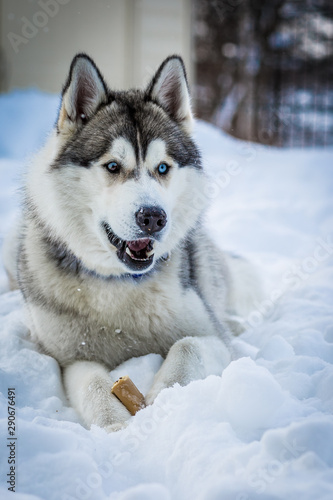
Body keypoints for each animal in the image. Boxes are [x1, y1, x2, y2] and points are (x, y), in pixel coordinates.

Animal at [3, 53, 260, 430]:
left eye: (163, 168)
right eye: (112, 166)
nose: (153, 217)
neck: (120, 286)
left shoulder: (213, 338)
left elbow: (188, 346)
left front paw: (164, 401)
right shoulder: (70, 359)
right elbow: (93, 385)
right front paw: (116, 426)